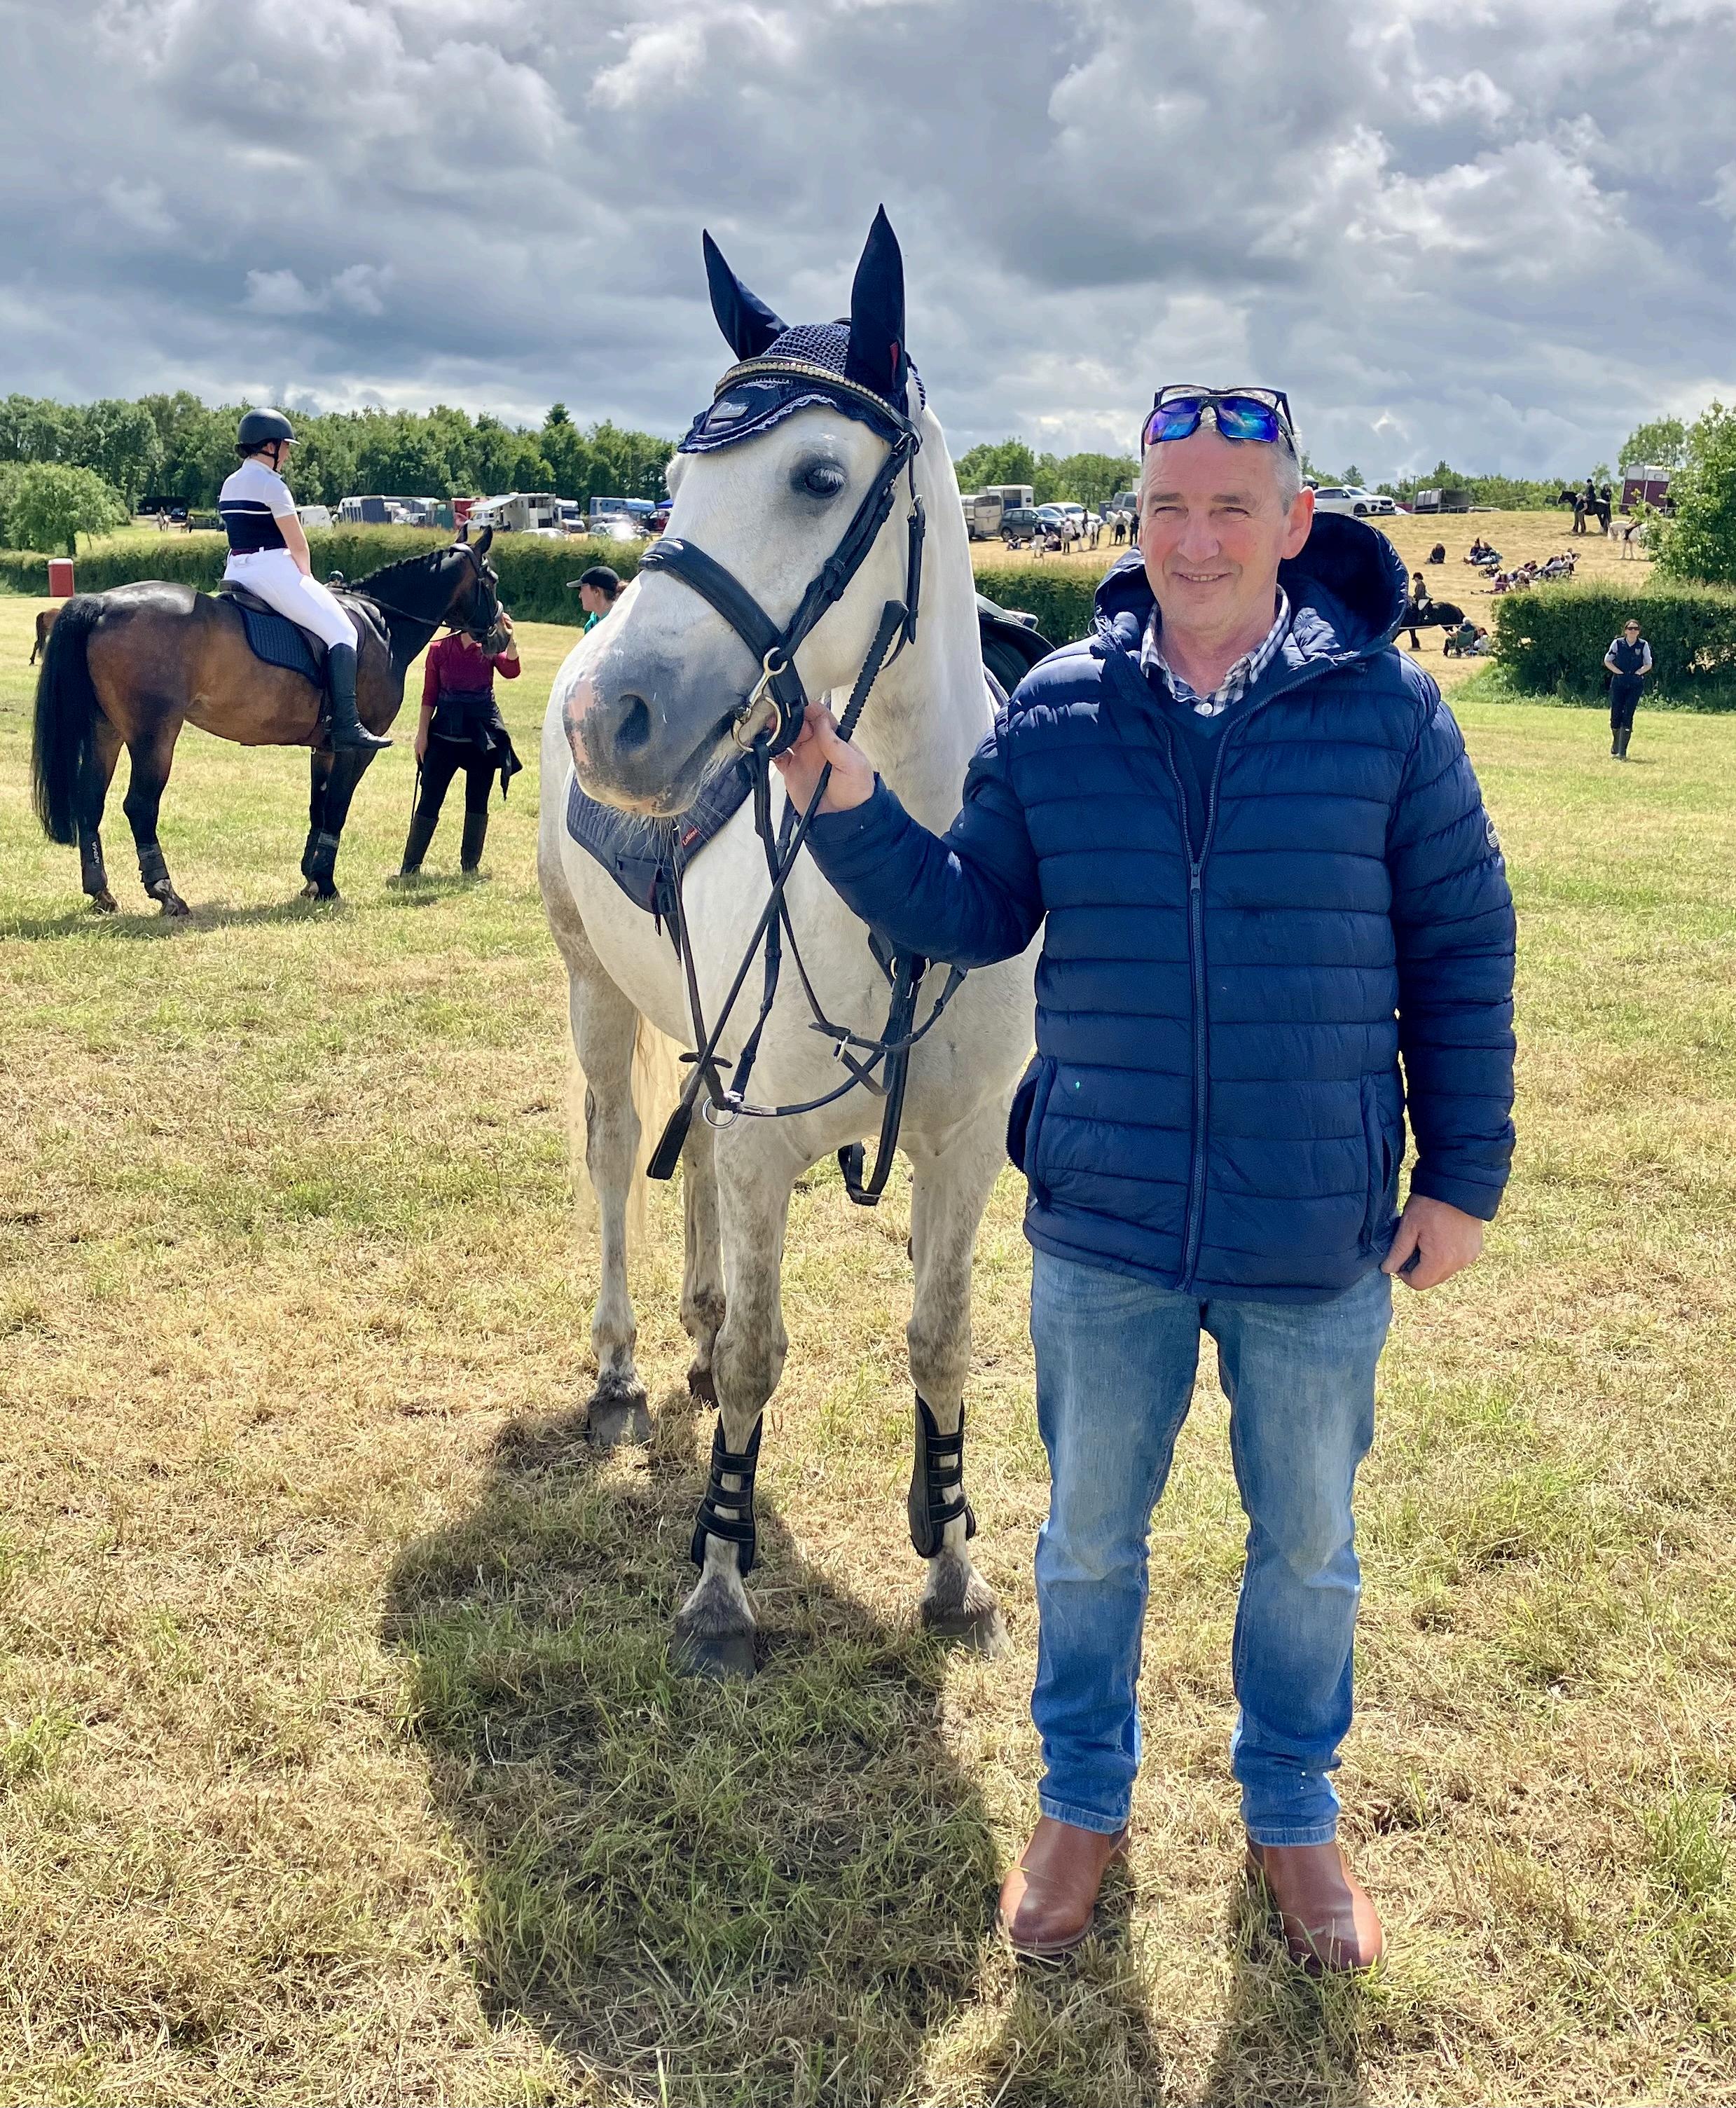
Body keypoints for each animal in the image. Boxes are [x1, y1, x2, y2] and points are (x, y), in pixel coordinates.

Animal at [30, 531, 500, 914]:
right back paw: (167, 893)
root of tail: (103, 602)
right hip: (154, 736)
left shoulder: (325, 747)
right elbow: (337, 808)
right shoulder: (357, 748)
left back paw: (101, 892)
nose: (498, 634)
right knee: (140, 806)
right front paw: (326, 884)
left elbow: (318, 807)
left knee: (90, 801)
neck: (381, 623)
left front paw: (311, 879)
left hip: (106, 732)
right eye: (491, 581)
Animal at [537, 210, 1037, 1678]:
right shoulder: (766, 1141)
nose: (609, 718)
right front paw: (718, 1582)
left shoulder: (960, 1148)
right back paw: (625, 1368)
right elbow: (765, 1352)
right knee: (615, 1160)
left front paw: (953, 1567)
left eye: (818, 476)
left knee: (688, 1155)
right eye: (668, 480)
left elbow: (939, 1342)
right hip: (595, 996)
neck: (910, 881)